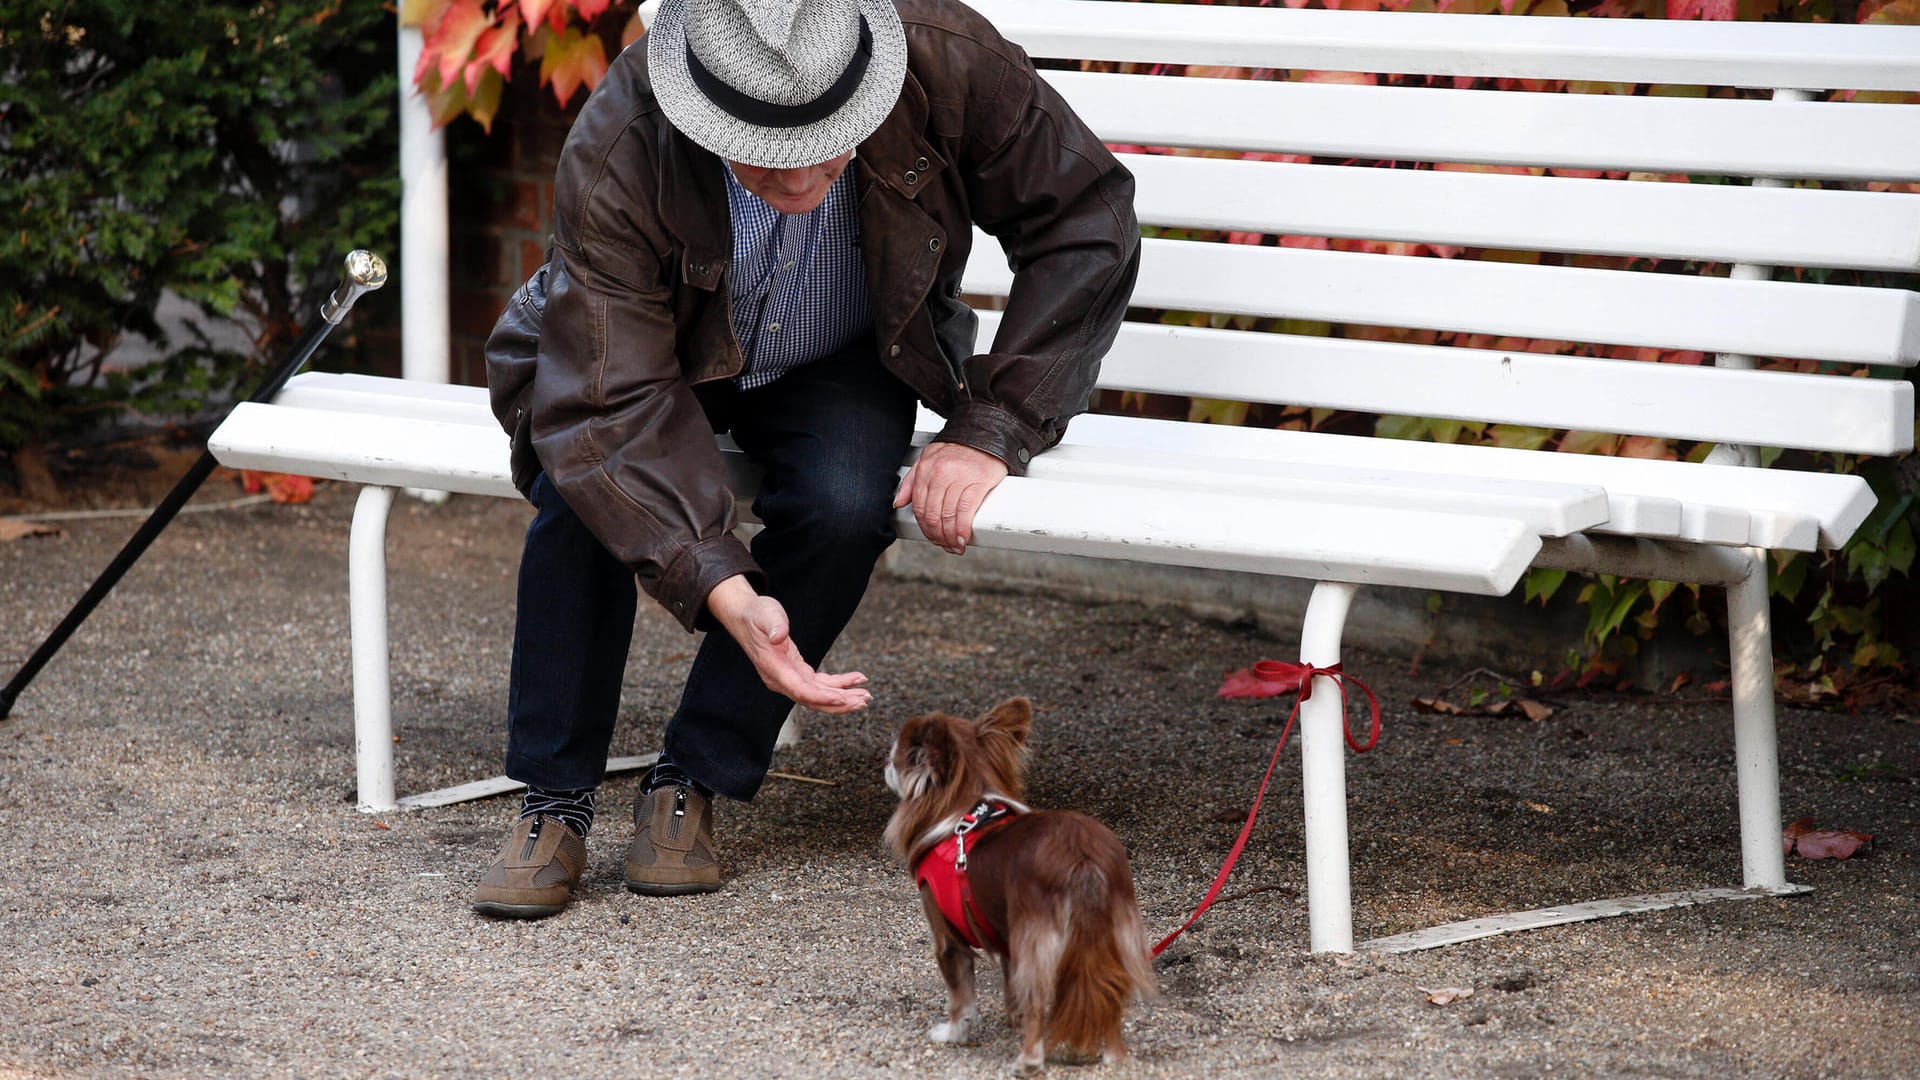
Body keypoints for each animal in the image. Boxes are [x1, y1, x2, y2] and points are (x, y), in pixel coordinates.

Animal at [883, 699, 1152, 1068]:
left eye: (899, 757)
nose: (885, 759)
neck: (963, 811)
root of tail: (1082, 860)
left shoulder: (948, 937)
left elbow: (961, 997)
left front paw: (952, 1033)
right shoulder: (1006, 933)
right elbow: (1011, 984)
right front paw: (1013, 1020)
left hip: (1038, 939)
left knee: (1040, 999)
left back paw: (1028, 1060)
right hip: (1110, 933)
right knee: (1108, 990)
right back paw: (1114, 1057)